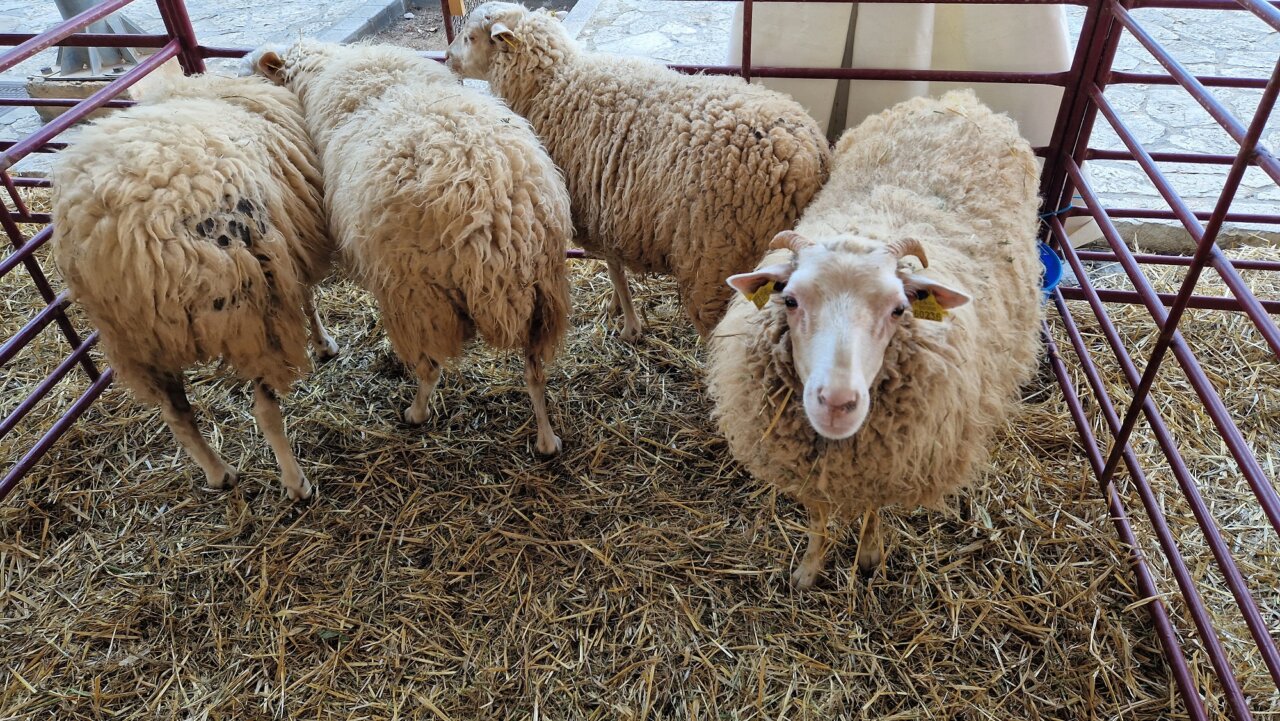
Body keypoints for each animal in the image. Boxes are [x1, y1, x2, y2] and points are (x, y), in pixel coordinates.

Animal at [51, 69, 338, 501]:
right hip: (251, 316)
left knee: (177, 414)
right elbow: (309, 300)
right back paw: (295, 482)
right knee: (265, 412)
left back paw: (219, 473)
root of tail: (134, 236)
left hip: (136, 339)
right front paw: (324, 345)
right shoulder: (288, 255)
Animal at [243, 40, 572, 455]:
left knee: (430, 368)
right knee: (535, 371)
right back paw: (546, 439)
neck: (324, 68)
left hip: (419, 298)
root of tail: (494, 217)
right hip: (543, 296)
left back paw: (415, 412)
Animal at [445, 2, 831, 341]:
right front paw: (618, 309)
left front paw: (629, 325)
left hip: (719, 258)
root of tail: (807, 155)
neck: (554, 83)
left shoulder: (598, 207)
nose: (447, 58)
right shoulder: (610, 209)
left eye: (471, 37)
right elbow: (613, 265)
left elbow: (615, 270)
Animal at [707, 90, 1044, 589]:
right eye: (790, 300)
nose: (837, 403)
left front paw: (868, 556)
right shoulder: (811, 467)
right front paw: (809, 569)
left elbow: (872, 510)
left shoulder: (889, 463)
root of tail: (958, 99)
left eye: (899, 309)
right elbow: (818, 516)